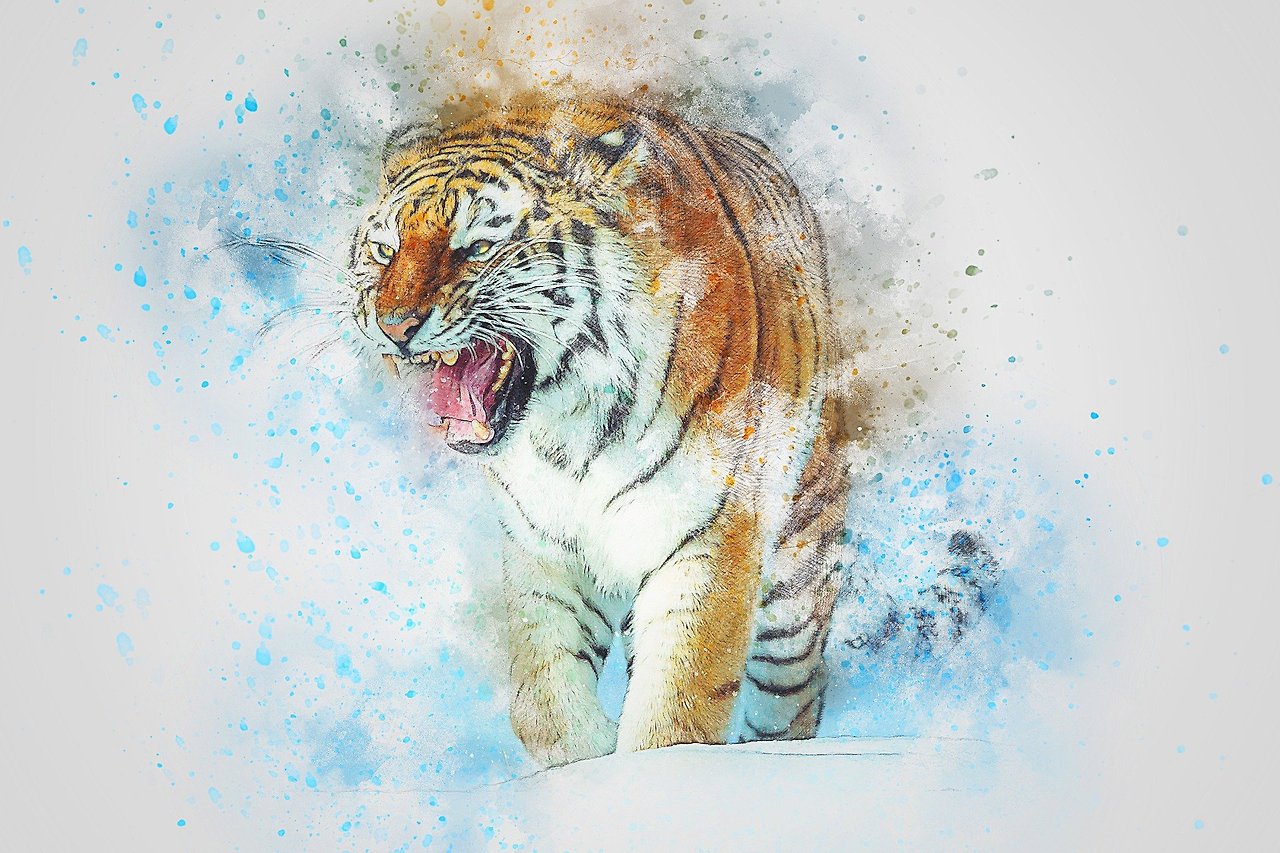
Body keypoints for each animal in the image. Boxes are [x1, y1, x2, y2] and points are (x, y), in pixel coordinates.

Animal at [348, 93, 858, 767]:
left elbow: (676, 710)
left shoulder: (710, 540)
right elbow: (544, 701)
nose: (394, 324)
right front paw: (584, 763)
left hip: (795, 596)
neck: (570, 429)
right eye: (385, 250)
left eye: (476, 247)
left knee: (792, 701)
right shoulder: (544, 549)